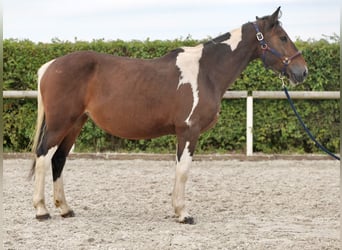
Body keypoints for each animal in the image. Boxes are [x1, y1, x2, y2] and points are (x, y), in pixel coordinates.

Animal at [30, 7, 308, 225]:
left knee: (59, 160)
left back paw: (65, 209)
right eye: (283, 37)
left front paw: (177, 210)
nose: (302, 71)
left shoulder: (181, 133)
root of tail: (50, 66)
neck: (206, 71)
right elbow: (183, 170)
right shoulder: (189, 130)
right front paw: (184, 214)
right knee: (44, 156)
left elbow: (177, 169)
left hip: (75, 124)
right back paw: (42, 210)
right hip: (60, 124)